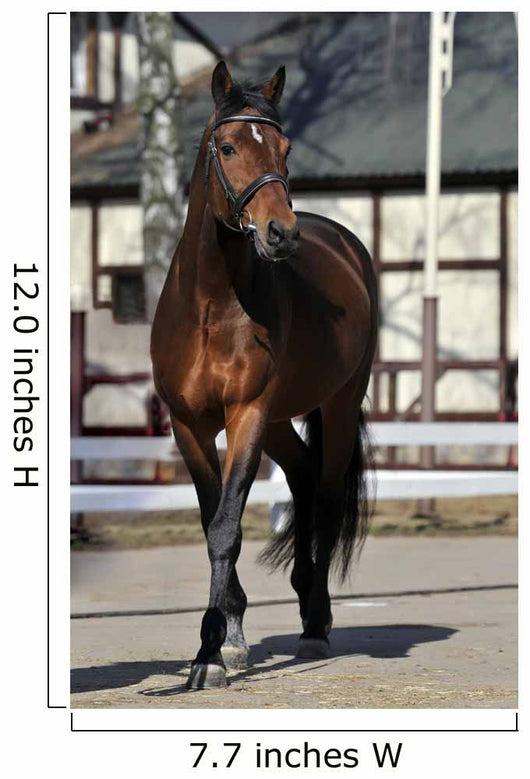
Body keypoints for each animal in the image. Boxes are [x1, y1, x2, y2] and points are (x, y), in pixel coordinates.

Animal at [151, 61, 378, 689]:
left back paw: (316, 625)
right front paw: (228, 640)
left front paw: (207, 654)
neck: (210, 304)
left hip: (338, 404)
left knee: (325, 495)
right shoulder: (189, 426)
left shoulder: (246, 415)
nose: (282, 233)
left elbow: (227, 527)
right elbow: (213, 521)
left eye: (285, 147)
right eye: (228, 147)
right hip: (280, 420)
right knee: (300, 477)